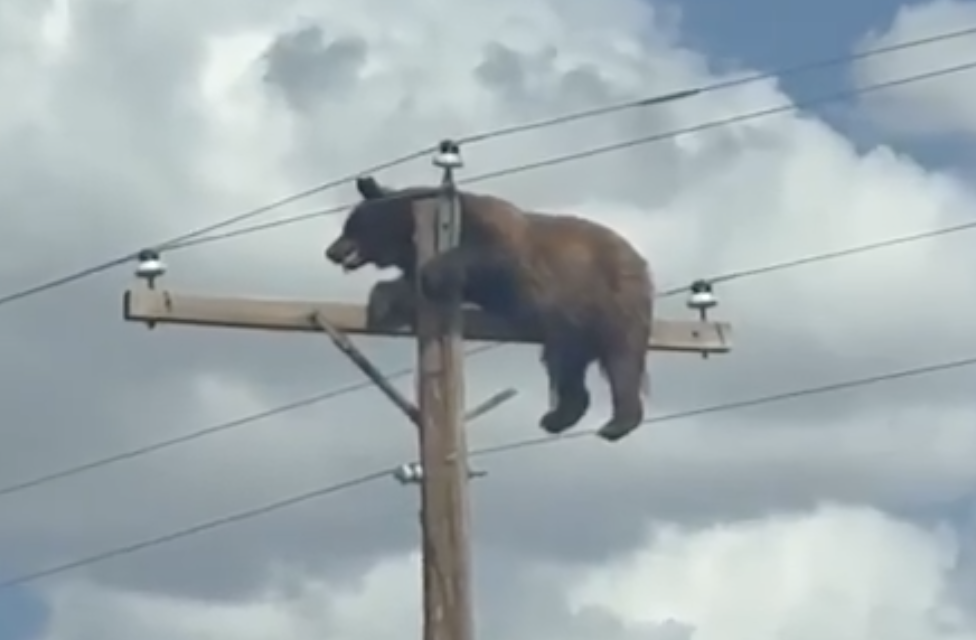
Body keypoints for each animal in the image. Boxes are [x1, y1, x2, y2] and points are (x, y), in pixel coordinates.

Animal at [325, 175, 654, 442]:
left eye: (349, 225)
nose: (331, 251)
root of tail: (640, 260)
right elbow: (407, 286)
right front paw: (381, 303)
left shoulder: (493, 233)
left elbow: (489, 257)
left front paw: (430, 275)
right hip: (571, 323)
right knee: (566, 362)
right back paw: (559, 417)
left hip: (613, 297)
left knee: (621, 358)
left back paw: (617, 422)